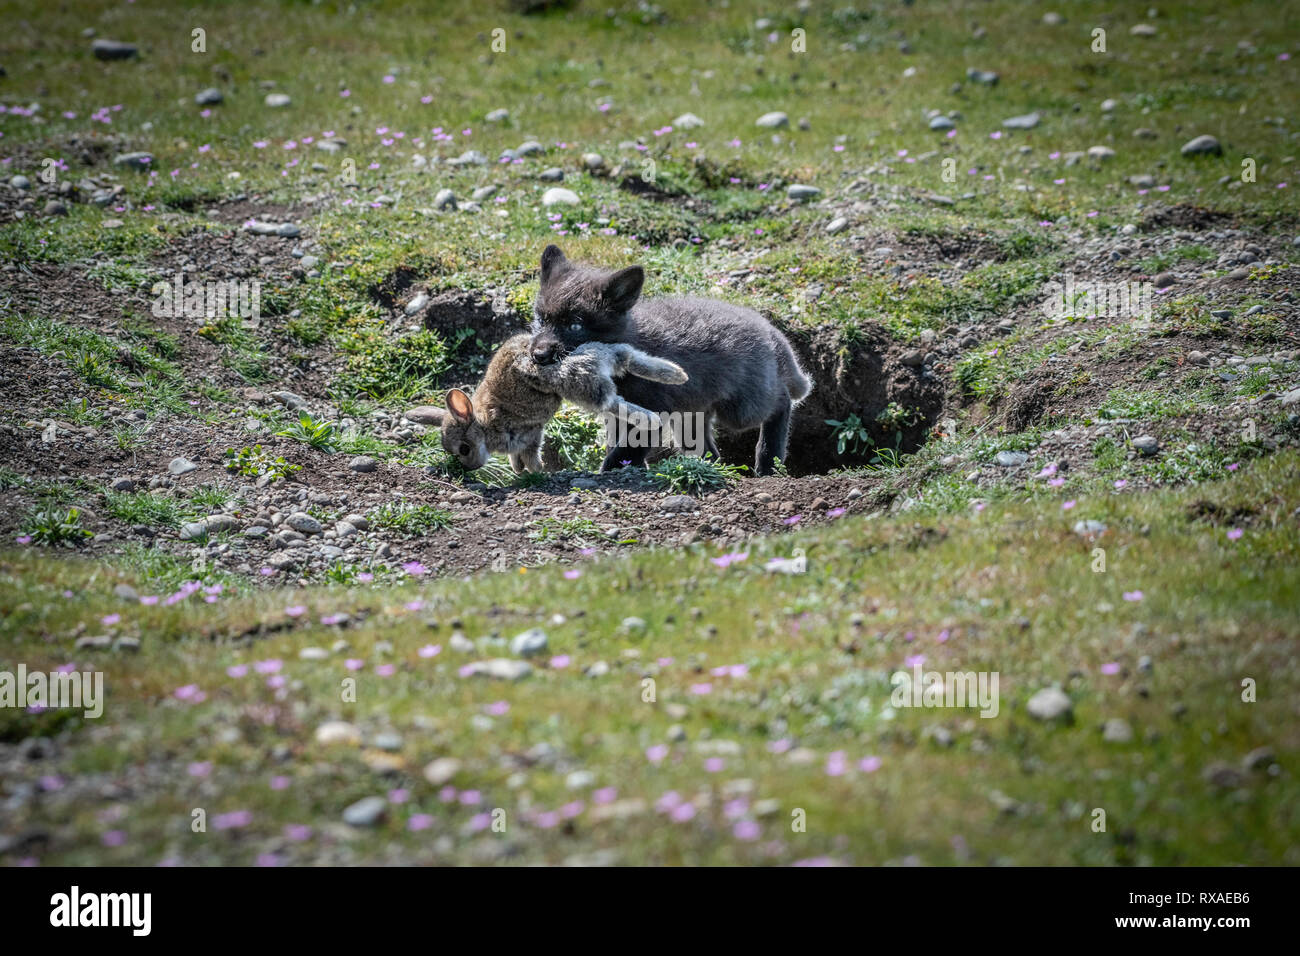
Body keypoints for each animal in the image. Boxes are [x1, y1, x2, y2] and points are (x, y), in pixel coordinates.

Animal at [410, 333, 687, 473]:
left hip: (576, 383)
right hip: (599, 357)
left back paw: (651, 418)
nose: (470, 469)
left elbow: (530, 455)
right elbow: (517, 458)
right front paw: (519, 471)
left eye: (464, 449)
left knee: (611, 402)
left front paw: (538, 471)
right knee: (627, 356)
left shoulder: (529, 435)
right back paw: (676, 374)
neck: (483, 425)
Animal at [527, 245, 812, 475]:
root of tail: (771, 331)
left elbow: (625, 450)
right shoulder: (618, 414)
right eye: (540, 319)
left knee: (781, 401)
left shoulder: (654, 410)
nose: (538, 355)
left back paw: (768, 461)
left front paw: (612, 470)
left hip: (741, 411)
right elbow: (619, 446)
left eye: (575, 326)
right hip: (690, 418)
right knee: (710, 453)